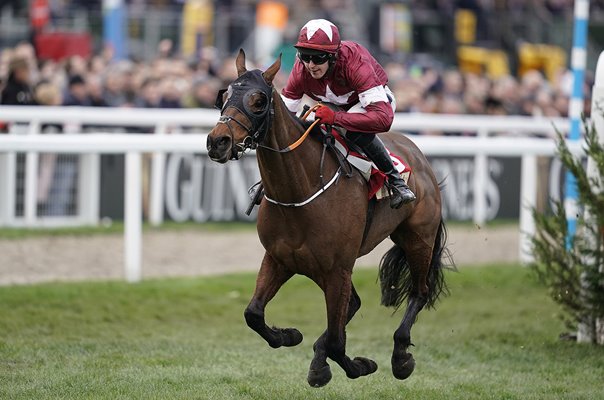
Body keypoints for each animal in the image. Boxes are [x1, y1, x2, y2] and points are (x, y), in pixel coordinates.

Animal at [205, 48, 450, 386]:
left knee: (419, 291)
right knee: (354, 304)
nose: (218, 142)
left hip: (418, 239)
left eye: (258, 101)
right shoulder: (280, 259)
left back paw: (401, 356)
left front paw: (357, 365)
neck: (299, 193)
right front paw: (291, 336)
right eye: (224, 95)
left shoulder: (336, 269)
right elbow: (253, 314)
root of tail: (419, 156)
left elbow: (336, 341)